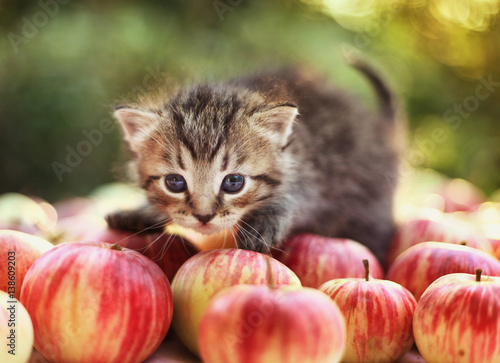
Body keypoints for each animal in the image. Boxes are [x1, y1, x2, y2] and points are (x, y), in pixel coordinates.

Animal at [106, 61, 402, 264]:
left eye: (234, 182)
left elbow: (292, 198)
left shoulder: (310, 174)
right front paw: (141, 212)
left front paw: (263, 224)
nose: (203, 217)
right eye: (174, 182)